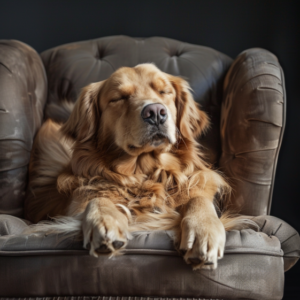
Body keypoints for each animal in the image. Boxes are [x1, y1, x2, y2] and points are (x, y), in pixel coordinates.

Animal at [25, 62, 251, 270]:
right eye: (118, 98)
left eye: (164, 91)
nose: (155, 112)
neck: (145, 173)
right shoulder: (76, 205)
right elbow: (98, 197)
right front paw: (105, 221)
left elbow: (199, 199)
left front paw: (204, 231)